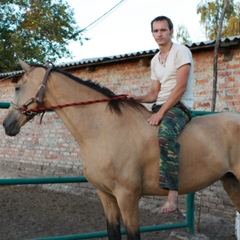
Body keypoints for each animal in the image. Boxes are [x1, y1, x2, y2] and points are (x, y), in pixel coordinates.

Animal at [2, 58, 240, 240]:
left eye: (17, 87)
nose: (7, 124)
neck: (105, 129)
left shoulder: (128, 197)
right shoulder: (106, 196)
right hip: (230, 182)